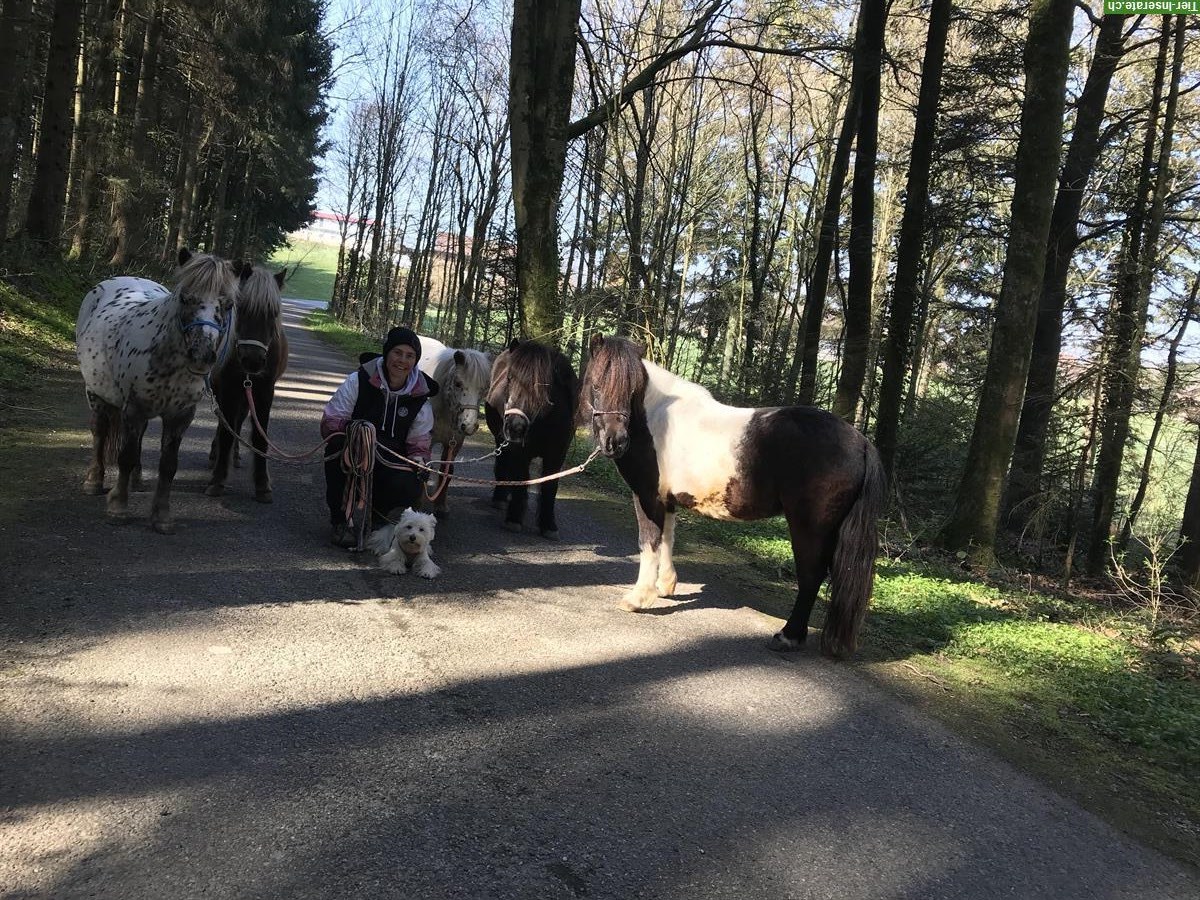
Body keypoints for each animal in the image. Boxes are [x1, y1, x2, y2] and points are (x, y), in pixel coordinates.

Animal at [76, 248, 238, 535]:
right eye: (185, 297)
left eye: (228, 304)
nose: (201, 355)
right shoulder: (134, 409)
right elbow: (125, 456)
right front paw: (118, 508)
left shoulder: (179, 417)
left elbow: (168, 465)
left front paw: (162, 517)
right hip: (96, 394)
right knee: (100, 432)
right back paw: (94, 481)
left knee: (138, 439)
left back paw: (137, 481)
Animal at [206, 264, 290, 504]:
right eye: (242, 308)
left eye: (274, 313)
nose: (252, 360)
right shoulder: (227, 390)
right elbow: (225, 432)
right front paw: (218, 480)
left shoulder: (264, 393)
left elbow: (260, 437)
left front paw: (262, 485)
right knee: (225, 423)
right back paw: (217, 456)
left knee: (237, 422)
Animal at [417, 333, 492, 513]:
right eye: (458, 384)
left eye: (484, 388)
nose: (469, 425)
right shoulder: (427, 440)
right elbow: (425, 468)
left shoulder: (455, 442)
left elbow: (447, 471)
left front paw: (441, 505)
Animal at [487, 340, 580, 540]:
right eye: (509, 379)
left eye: (542, 386)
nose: (515, 427)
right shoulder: (519, 452)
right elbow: (520, 479)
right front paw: (514, 518)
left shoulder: (556, 456)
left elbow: (550, 486)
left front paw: (548, 525)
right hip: (501, 441)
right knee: (502, 464)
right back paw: (500, 498)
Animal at [580, 336, 892, 657]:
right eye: (597, 385)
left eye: (631, 390)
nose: (615, 442)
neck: (655, 418)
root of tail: (861, 442)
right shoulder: (666, 501)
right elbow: (667, 538)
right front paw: (666, 586)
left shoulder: (646, 497)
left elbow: (649, 543)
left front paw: (639, 598)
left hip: (809, 527)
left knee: (811, 575)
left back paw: (788, 636)